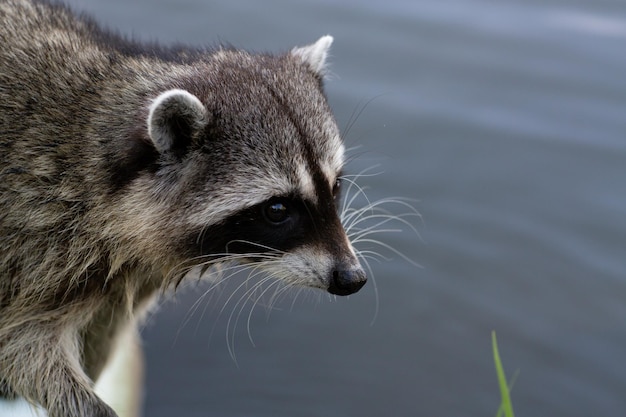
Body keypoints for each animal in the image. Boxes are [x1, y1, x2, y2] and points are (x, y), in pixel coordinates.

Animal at [0, 0, 366, 416]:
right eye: (277, 209)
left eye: (334, 186)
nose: (352, 278)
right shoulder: (36, 237)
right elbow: (22, 345)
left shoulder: (122, 273)